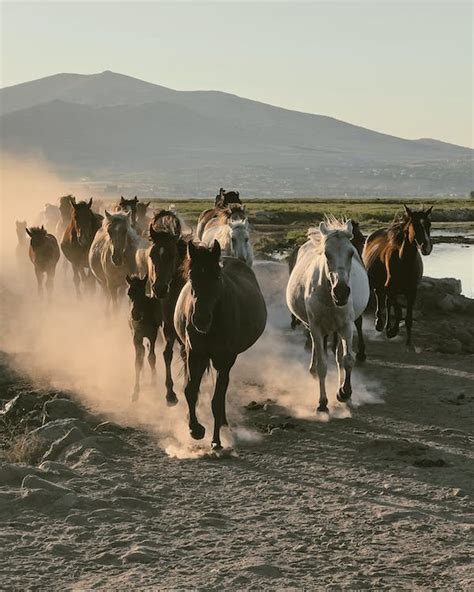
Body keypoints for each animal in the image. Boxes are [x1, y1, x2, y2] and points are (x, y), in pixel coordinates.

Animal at [173, 240, 266, 448]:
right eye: (192, 276)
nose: (200, 319)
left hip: (228, 360)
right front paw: (195, 429)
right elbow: (190, 390)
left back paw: (223, 425)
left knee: (222, 390)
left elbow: (216, 400)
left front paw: (216, 440)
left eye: (216, 276)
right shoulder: (195, 354)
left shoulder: (223, 359)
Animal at [362, 207, 434, 350]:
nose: (426, 247)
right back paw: (380, 324)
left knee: (386, 302)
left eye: (429, 224)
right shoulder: (391, 289)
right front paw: (392, 331)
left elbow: (408, 318)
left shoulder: (412, 292)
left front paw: (409, 344)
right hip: (376, 284)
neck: (404, 262)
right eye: (415, 225)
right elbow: (399, 311)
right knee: (380, 297)